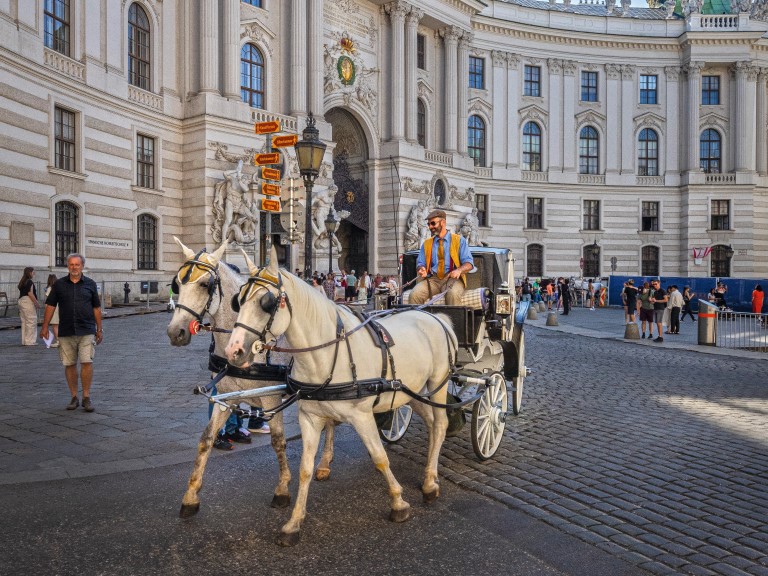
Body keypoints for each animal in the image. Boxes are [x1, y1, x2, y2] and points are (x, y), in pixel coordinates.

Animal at [166, 238, 336, 518]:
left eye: (205, 284)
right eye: (176, 284)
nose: (175, 332)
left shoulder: (270, 399)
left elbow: (278, 442)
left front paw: (282, 489)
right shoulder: (226, 398)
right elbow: (206, 439)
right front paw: (190, 496)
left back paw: (323, 463)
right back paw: (324, 463)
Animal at [224, 247, 459, 546]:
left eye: (267, 302)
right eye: (238, 300)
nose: (234, 351)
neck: (323, 355)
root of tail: (437, 316)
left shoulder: (361, 415)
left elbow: (380, 457)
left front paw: (398, 502)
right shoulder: (310, 417)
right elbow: (305, 468)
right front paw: (293, 522)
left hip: (437, 385)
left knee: (440, 424)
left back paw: (429, 483)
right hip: (413, 392)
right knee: (431, 424)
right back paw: (431, 475)